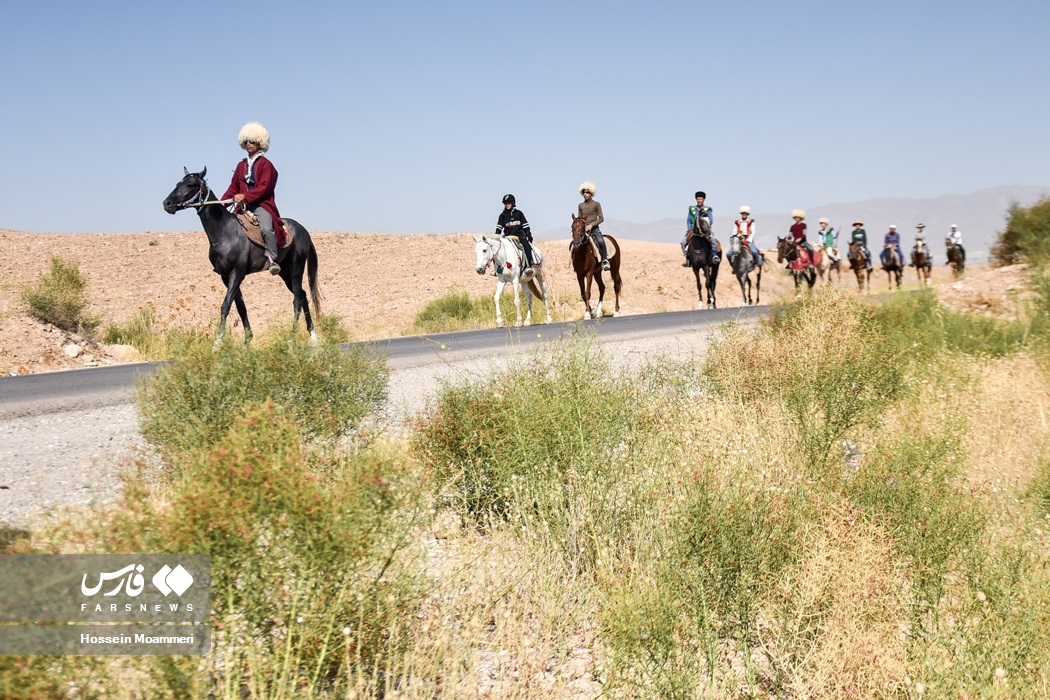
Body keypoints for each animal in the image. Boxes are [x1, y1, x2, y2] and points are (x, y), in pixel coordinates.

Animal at [159, 167, 319, 346]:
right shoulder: (225, 276)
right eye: (178, 183)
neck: (224, 232)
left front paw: (217, 343)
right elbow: (240, 307)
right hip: (284, 272)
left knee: (297, 299)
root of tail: (304, 231)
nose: (167, 204)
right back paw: (313, 338)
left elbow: (226, 305)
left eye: (191, 184)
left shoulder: (237, 273)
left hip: (296, 268)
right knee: (303, 295)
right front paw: (247, 341)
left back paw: (291, 340)